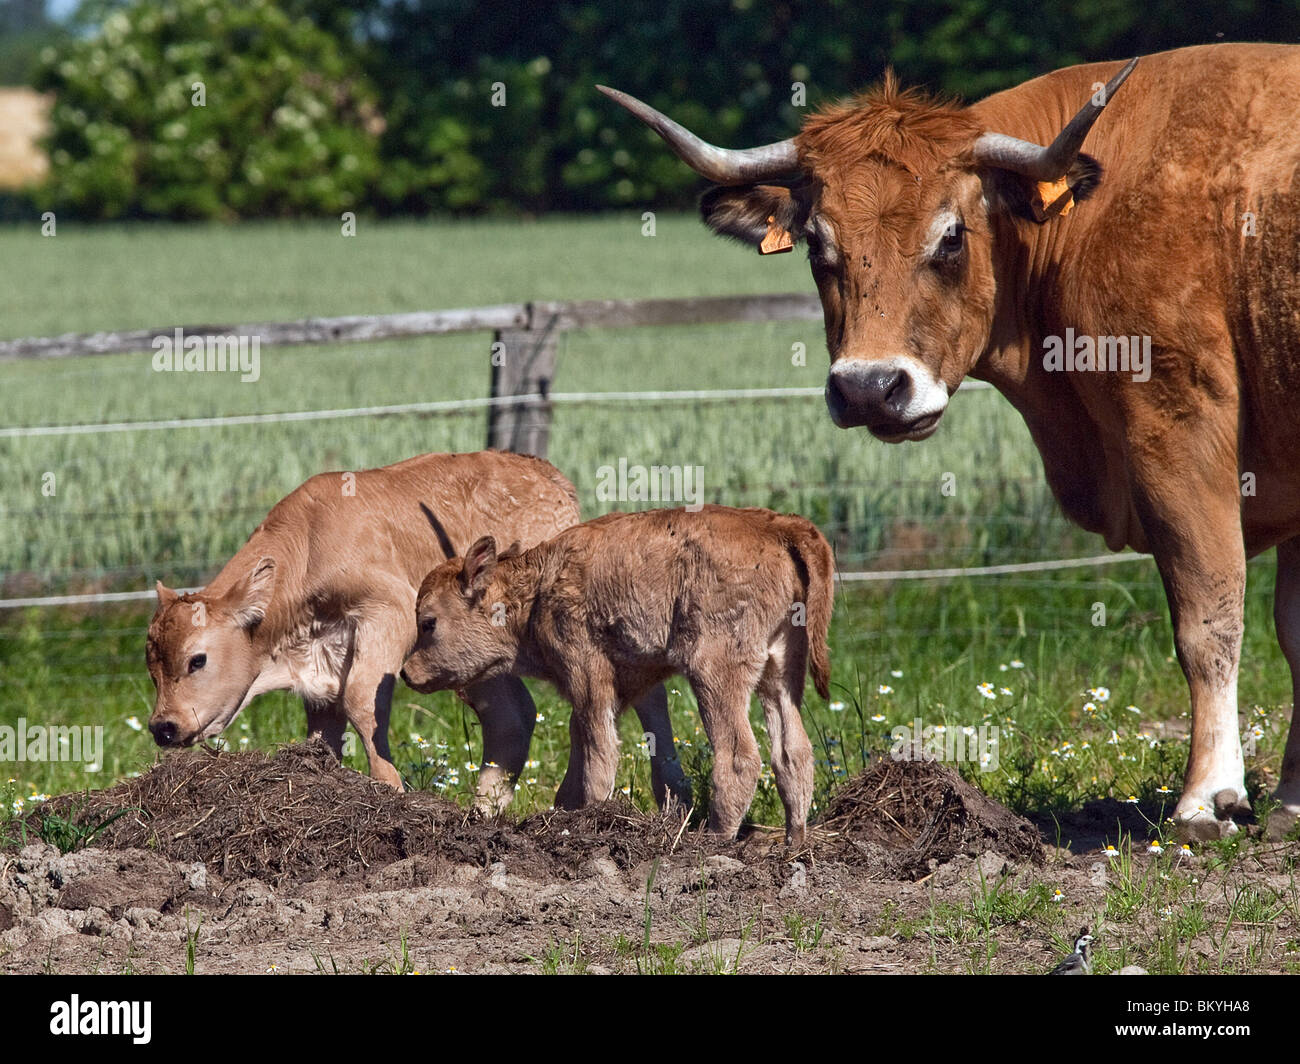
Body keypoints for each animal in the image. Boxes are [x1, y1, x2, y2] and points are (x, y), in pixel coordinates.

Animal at [146, 450, 689, 811]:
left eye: (197, 659)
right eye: (153, 670)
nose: (162, 727)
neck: (311, 546)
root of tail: (543, 472)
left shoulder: (386, 616)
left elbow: (362, 702)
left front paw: (387, 788)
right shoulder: (320, 668)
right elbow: (325, 730)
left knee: (643, 698)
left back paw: (666, 796)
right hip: (477, 661)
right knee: (512, 716)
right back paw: (485, 811)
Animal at [401, 505, 835, 844]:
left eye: (428, 622)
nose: (407, 672)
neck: (536, 591)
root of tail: (778, 525)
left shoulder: (589, 675)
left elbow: (599, 755)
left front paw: (591, 818)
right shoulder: (628, 682)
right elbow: (586, 744)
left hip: (715, 671)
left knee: (739, 756)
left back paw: (713, 839)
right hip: (781, 671)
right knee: (794, 751)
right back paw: (794, 843)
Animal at [600, 43, 1300, 839]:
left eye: (951, 237)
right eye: (817, 245)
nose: (868, 388)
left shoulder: (1176, 428)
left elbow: (1208, 616)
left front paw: (1208, 797)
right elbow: (1292, 630)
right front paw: (1290, 798)